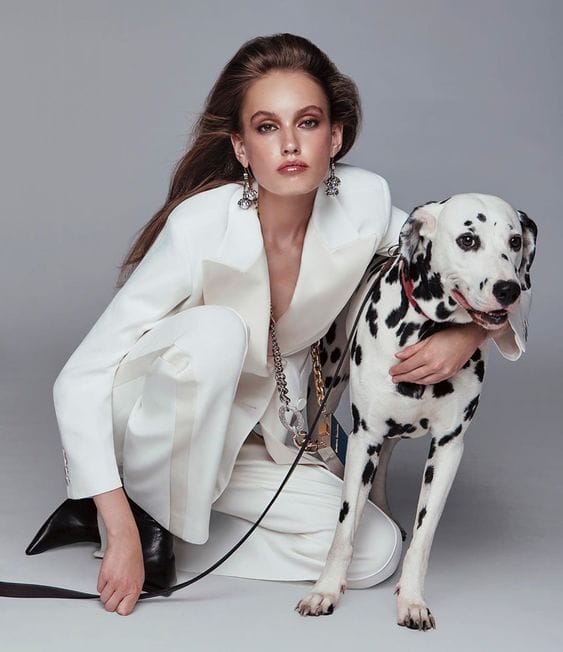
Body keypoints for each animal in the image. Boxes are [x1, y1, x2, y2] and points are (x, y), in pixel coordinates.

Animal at [295, 193, 537, 630]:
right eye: (467, 240)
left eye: (514, 241)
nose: (508, 289)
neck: (425, 332)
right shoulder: (364, 438)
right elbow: (344, 530)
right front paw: (325, 590)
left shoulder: (447, 450)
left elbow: (424, 539)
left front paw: (411, 600)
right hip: (328, 392)